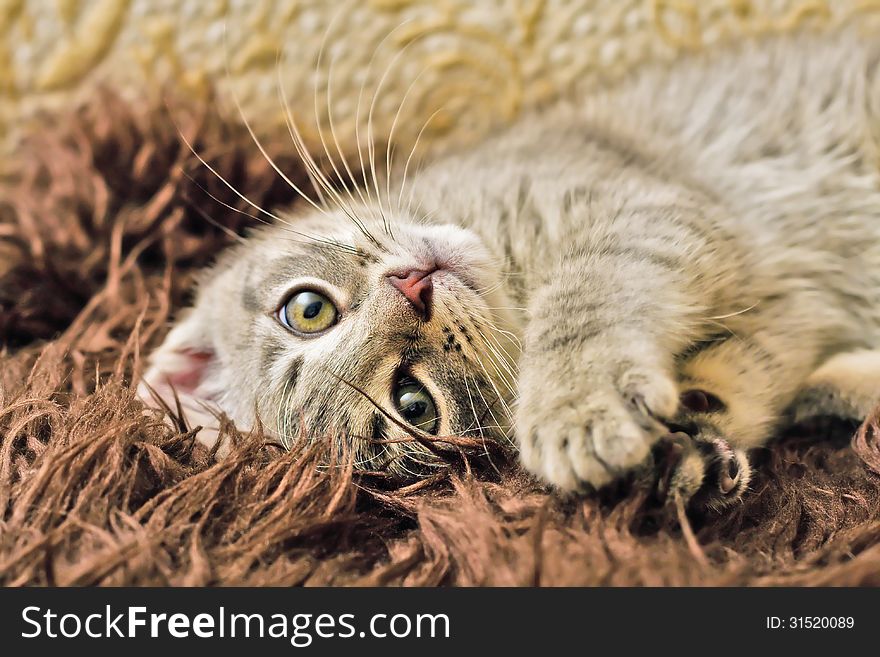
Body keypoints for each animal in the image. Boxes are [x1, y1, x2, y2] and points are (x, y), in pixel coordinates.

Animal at [141, 29, 880, 512]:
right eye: (414, 403)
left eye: (307, 309)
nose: (413, 290)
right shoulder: (772, 312)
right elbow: (751, 374)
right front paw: (685, 450)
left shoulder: (642, 207)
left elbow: (587, 293)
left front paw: (573, 401)